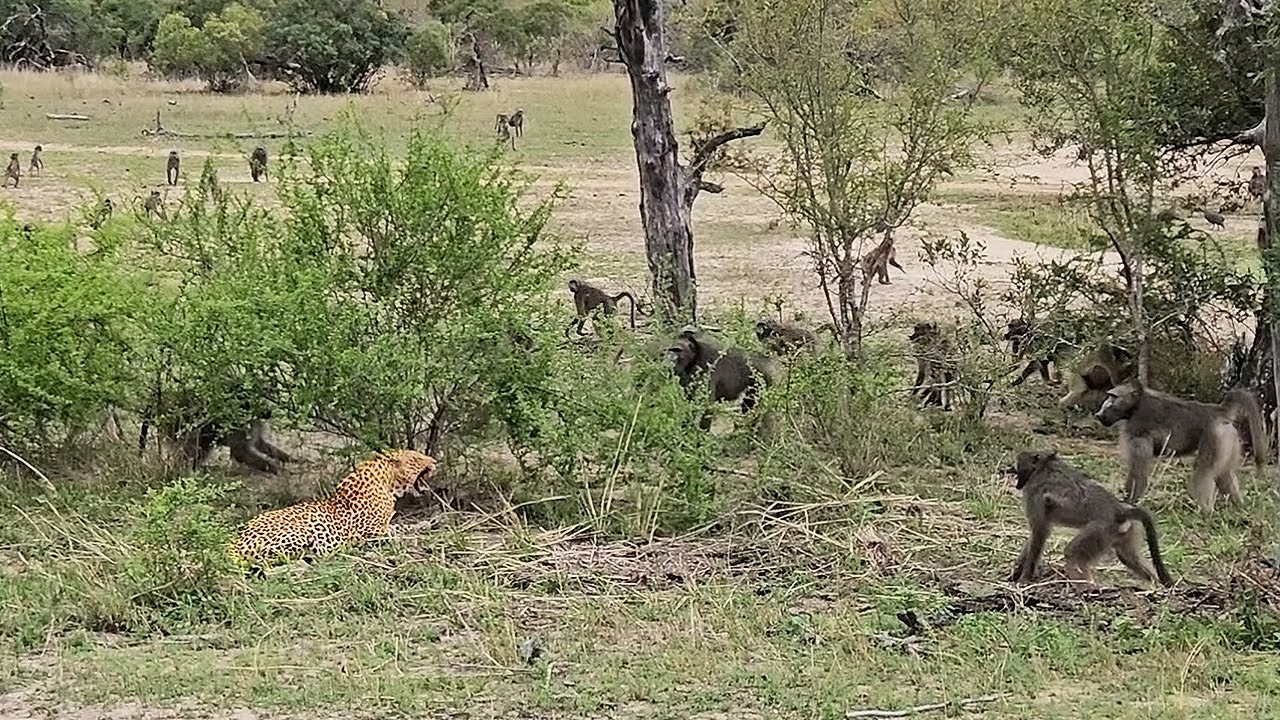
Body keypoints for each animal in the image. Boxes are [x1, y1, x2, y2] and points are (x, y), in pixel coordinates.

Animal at [229, 448, 438, 571]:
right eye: (417, 458)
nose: (435, 461)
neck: (388, 483)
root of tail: (234, 544)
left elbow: (403, 526)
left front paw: (427, 523)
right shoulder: (371, 531)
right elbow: (397, 531)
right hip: (299, 532)